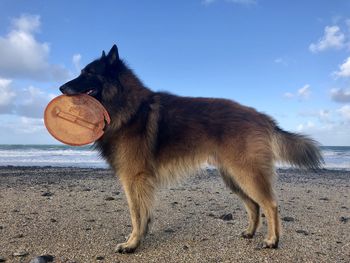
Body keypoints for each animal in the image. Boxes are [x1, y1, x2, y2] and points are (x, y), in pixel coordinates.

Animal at [59, 44, 322, 254]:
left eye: (89, 73)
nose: (61, 88)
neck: (126, 104)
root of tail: (263, 117)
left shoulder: (133, 178)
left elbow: (136, 214)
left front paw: (132, 243)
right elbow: (143, 214)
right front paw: (140, 237)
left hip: (247, 174)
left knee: (270, 204)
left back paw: (272, 240)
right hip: (233, 177)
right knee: (254, 205)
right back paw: (250, 232)